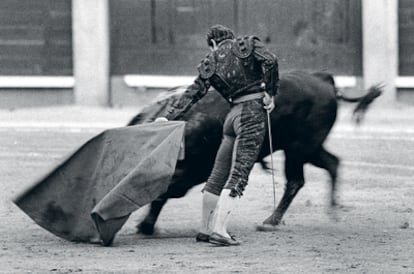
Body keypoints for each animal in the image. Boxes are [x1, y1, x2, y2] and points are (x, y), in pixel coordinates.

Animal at [127, 70, 382, 233]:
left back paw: (271, 221)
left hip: (300, 148)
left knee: (296, 180)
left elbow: (161, 195)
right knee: (332, 163)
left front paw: (145, 225)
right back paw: (333, 209)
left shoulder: (185, 174)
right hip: (309, 148)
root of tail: (324, 80)